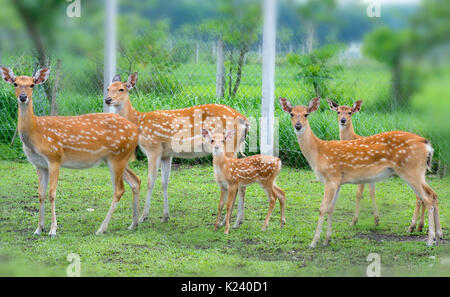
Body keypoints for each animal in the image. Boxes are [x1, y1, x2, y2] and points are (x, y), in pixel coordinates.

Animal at [0, 65, 142, 236]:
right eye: (15, 84)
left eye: (32, 85)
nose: (23, 97)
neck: (36, 133)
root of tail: (136, 129)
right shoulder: (39, 164)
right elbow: (40, 194)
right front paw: (39, 228)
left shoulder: (54, 157)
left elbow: (52, 193)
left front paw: (53, 230)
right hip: (116, 157)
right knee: (135, 181)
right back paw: (133, 224)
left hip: (118, 156)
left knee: (119, 190)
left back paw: (101, 228)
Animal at [105, 71, 250, 227]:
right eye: (108, 88)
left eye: (121, 89)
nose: (107, 99)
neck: (139, 122)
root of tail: (244, 120)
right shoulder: (166, 154)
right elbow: (164, 183)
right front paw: (165, 216)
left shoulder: (153, 147)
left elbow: (150, 181)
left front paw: (144, 217)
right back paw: (237, 221)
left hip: (228, 146)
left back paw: (228, 222)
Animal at [280, 96, 442, 246]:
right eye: (291, 114)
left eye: (306, 114)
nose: (298, 126)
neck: (318, 152)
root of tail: (427, 145)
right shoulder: (338, 181)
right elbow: (331, 208)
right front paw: (327, 240)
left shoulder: (331, 177)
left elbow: (322, 208)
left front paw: (314, 242)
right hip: (417, 172)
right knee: (432, 194)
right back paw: (438, 235)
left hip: (411, 170)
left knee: (427, 198)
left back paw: (429, 239)